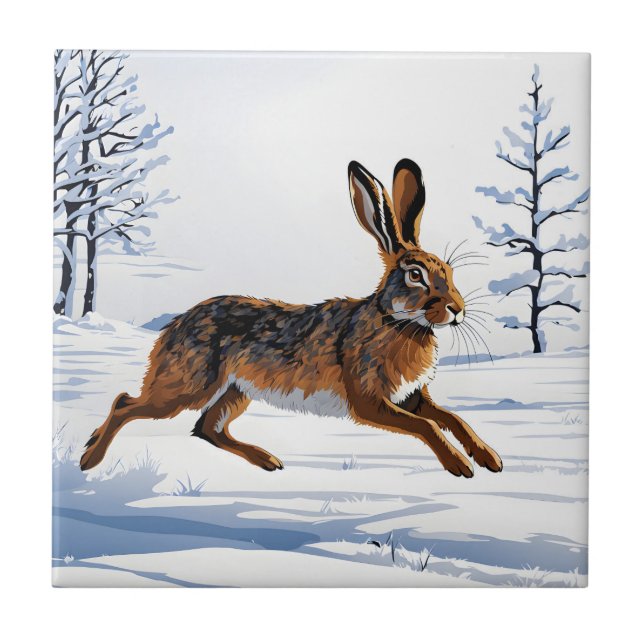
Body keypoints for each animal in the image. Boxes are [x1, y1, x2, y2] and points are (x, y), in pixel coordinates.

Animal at [80, 159, 502, 477]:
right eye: (415, 274)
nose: (457, 309)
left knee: (206, 427)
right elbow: (427, 425)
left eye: (449, 271)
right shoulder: (369, 400)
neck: (396, 320)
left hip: (236, 391)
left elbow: (452, 418)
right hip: (187, 386)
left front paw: (489, 459)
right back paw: (88, 459)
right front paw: (459, 466)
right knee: (126, 403)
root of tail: (173, 328)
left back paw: (268, 460)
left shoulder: (413, 397)